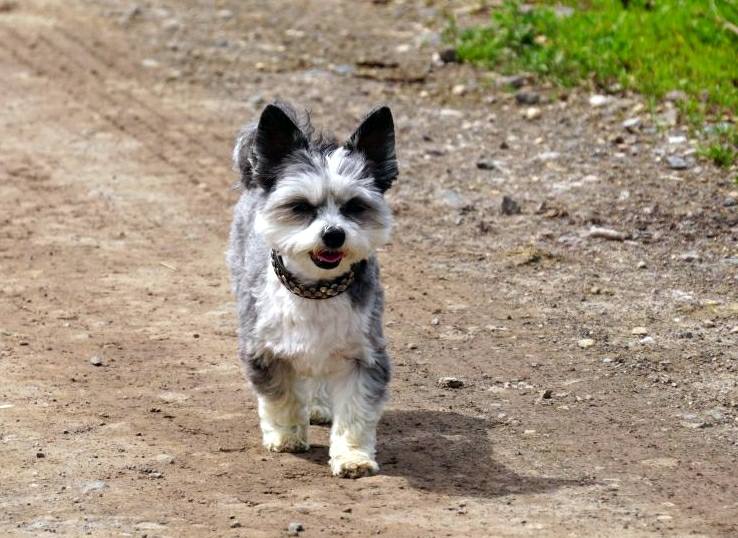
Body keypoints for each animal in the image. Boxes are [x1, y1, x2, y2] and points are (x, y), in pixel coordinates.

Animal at [227, 102, 397, 478]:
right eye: (301, 207)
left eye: (354, 206)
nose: (334, 234)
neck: (316, 291)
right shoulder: (263, 350)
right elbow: (281, 396)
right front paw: (287, 436)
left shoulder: (364, 354)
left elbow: (356, 412)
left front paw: (352, 457)